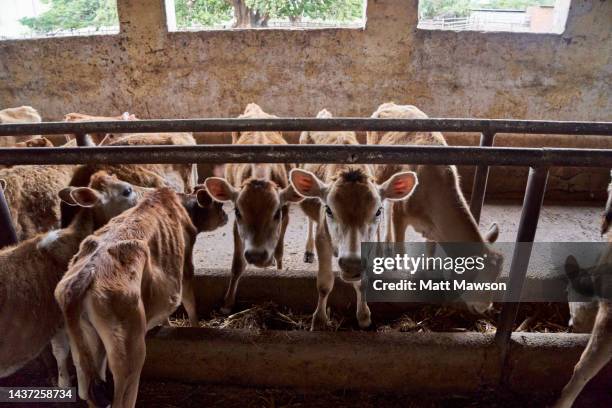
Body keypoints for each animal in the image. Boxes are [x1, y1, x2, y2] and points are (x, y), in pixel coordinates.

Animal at [54, 186, 227, 408]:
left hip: (86, 346)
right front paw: (196, 329)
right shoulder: (186, 269)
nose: (226, 215)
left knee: (90, 391)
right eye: (219, 204)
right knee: (121, 398)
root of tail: (84, 275)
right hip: (130, 349)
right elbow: (190, 305)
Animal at [204, 103, 302, 314]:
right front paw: (227, 304)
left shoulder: (285, 212)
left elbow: (279, 249)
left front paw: (278, 270)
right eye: (238, 212)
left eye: (276, 213)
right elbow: (237, 264)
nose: (256, 255)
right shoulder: (236, 225)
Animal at [290, 107, 418, 328]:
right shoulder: (323, 237)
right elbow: (324, 283)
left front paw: (364, 316)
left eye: (378, 211)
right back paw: (308, 251)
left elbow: (363, 282)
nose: (351, 265)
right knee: (309, 220)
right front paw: (320, 321)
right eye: (329, 210)